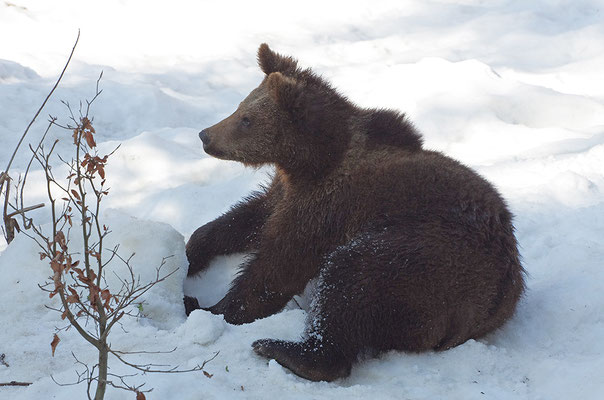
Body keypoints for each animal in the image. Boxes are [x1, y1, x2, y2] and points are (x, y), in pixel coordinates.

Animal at [185, 43, 524, 382]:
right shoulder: (287, 192)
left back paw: (283, 349)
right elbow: (248, 218)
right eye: (240, 105)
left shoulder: (328, 206)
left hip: (434, 256)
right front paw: (193, 252)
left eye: (247, 119)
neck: (313, 161)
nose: (205, 135)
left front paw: (210, 308)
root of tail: (503, 295)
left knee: (352, 275)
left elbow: (279, 265)